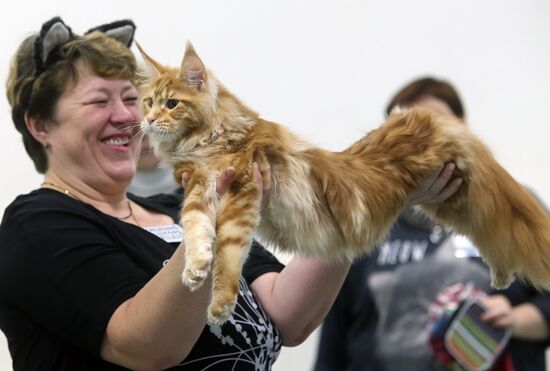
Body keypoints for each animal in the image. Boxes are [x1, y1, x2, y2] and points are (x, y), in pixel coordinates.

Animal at [136, 42, 550, 324]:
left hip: (465, 192)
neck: (209, 139)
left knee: (505, 230)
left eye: (171, 103)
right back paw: (501, 275)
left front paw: (220, 303)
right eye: (146, 102)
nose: (149, 120)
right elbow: (195, 228)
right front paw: (194, 268)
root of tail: (428, 118)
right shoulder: (198, 188)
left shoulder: (241, 192)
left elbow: (228, 254)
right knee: (492, 235)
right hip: (453, 202)